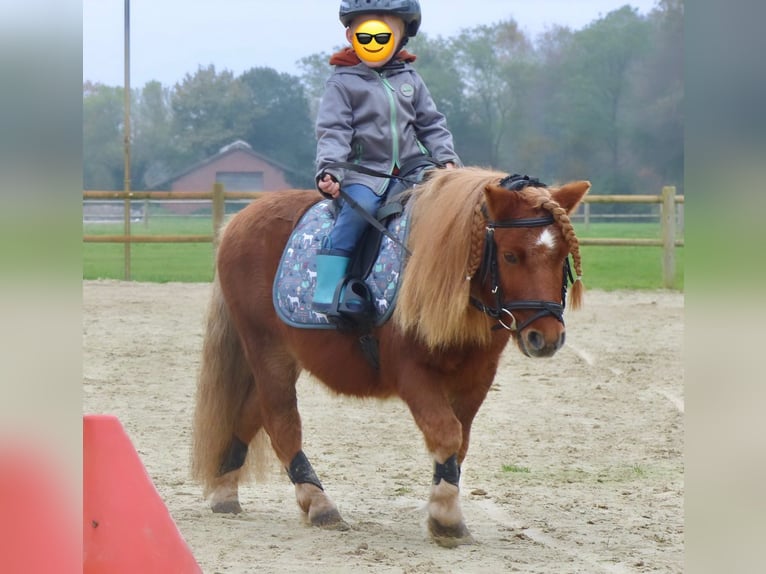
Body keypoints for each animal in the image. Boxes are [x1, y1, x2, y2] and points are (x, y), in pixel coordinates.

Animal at [194, 168, 592, 548]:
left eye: (561, 257)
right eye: (510, 255)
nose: (547, 337)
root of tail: (239, 220)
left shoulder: (477, 377)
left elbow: (459, 444)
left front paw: (444, 510)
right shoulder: (411, 373)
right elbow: (445, 434)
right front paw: (446, 518)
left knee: (250, 413)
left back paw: (226, 489)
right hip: (267, 349)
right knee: (281, 422)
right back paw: (319, 504)